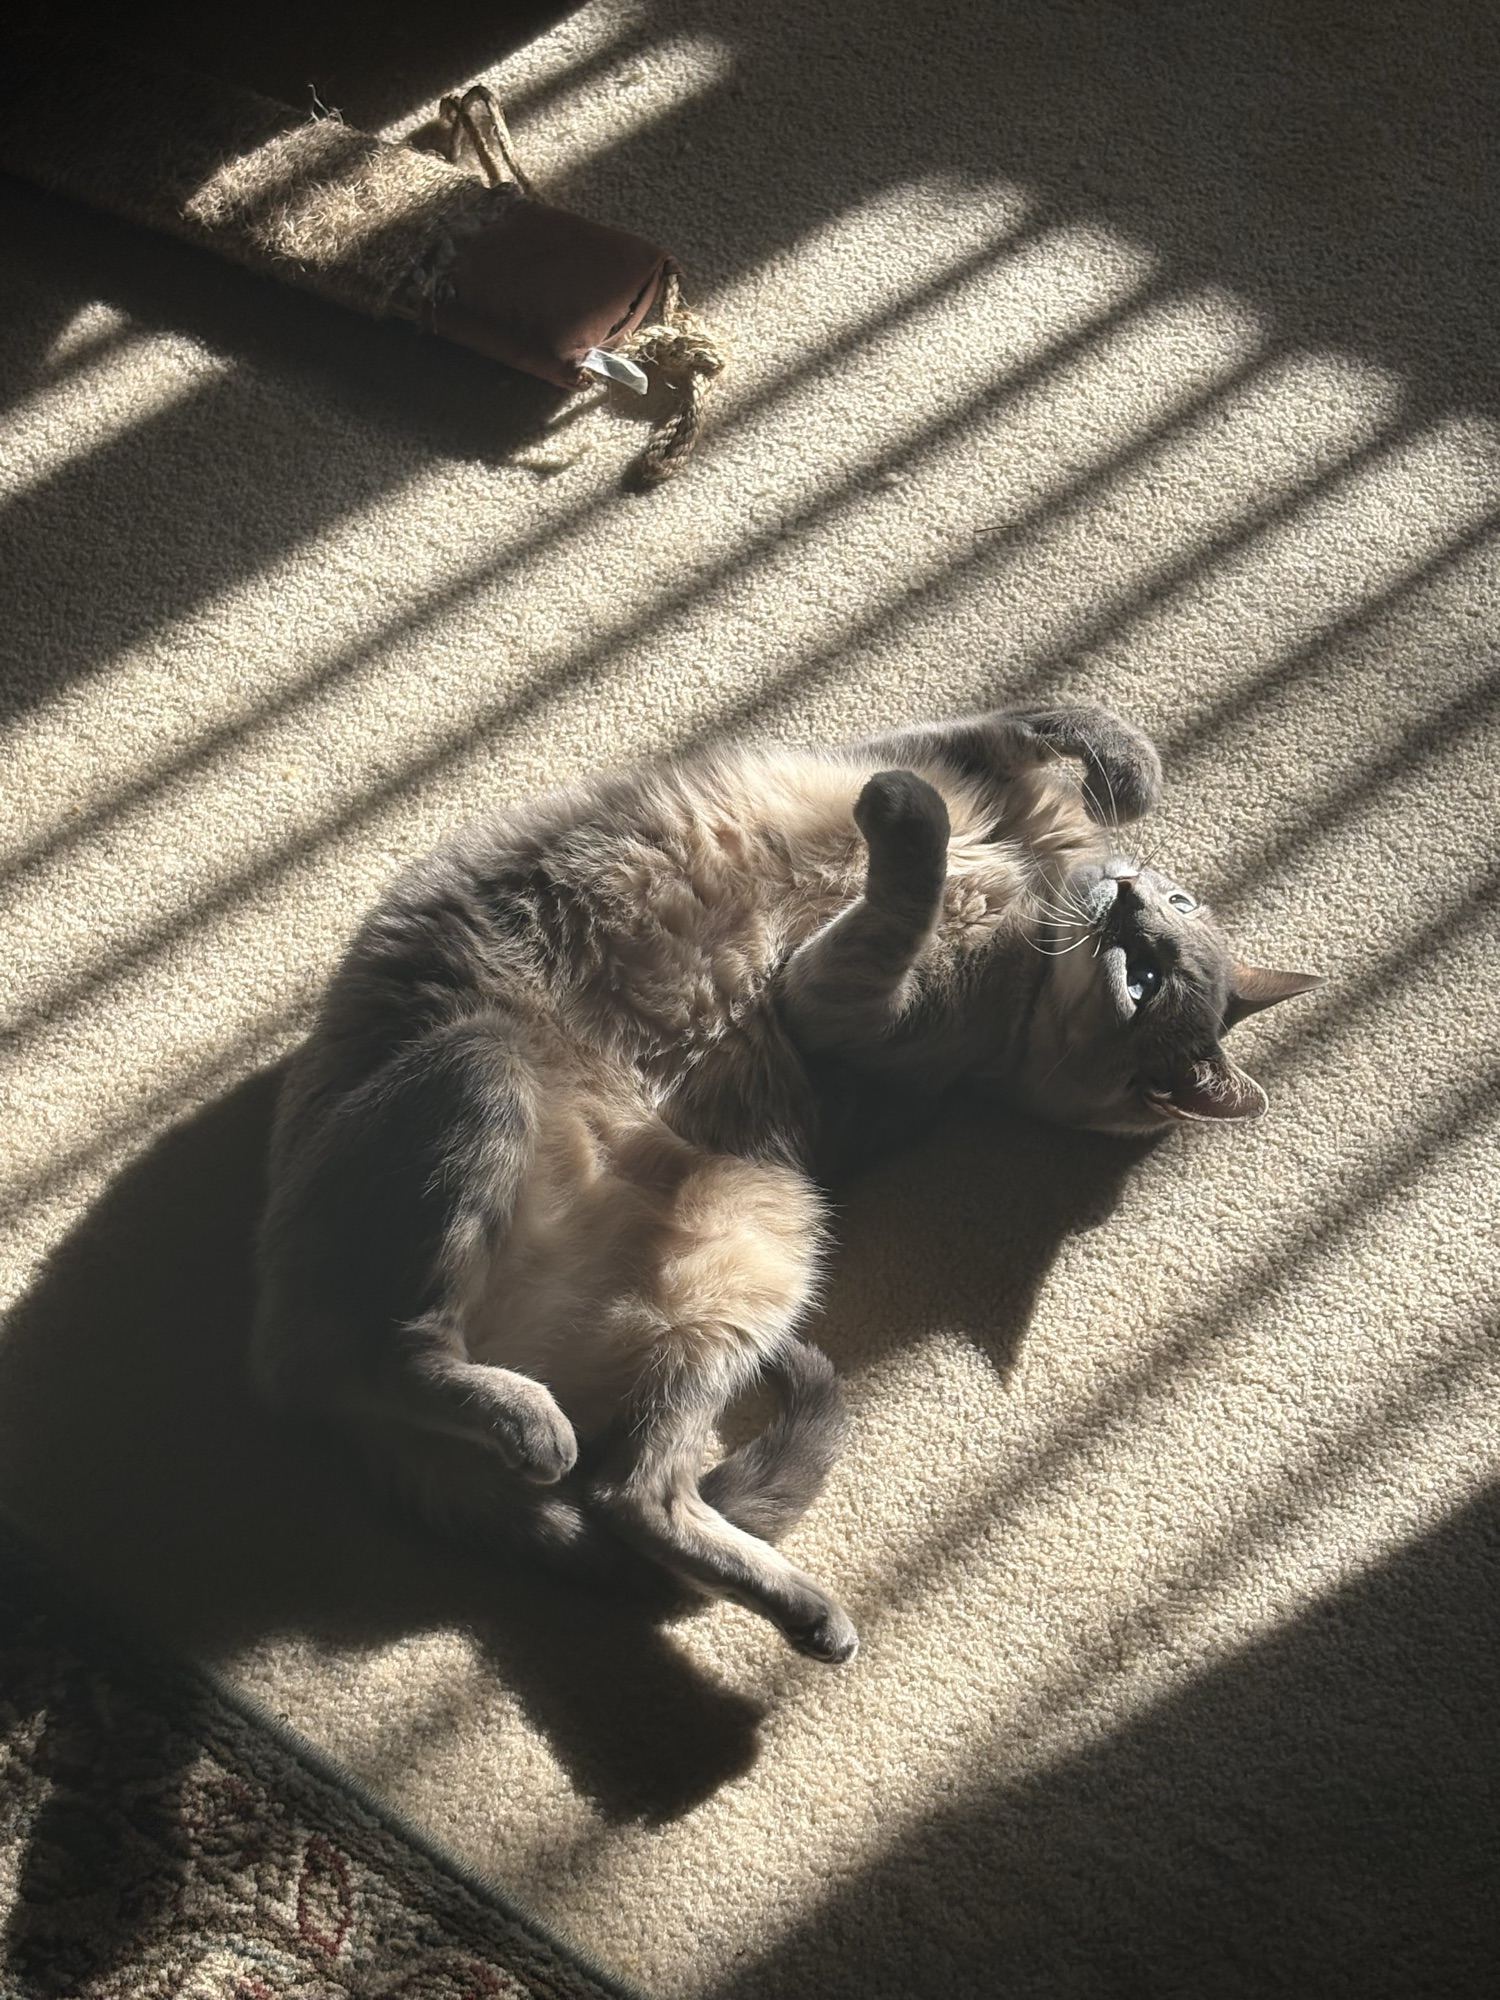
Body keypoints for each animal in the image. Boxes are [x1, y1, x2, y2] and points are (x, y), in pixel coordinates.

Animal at [251, 705, 1317, 1664]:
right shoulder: (951, 747)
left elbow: (910, 878)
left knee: (550, 1443)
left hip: (695, 1200)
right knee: (603, 1477)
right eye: (1165, 929)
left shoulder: (839, 998)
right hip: (731, 1245)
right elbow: (1088, 734)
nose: (1133, 902)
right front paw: (1107, 780)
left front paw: (911, 820)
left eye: (1147, 981)